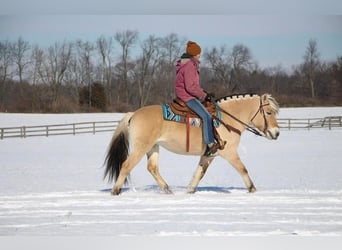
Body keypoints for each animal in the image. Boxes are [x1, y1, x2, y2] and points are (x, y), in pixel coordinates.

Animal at [103, 93, 280, 194]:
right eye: (269, 112)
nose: (276, 133)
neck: (227, 120)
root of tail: (133, 114)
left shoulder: (209, 155)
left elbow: (200, 172)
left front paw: (190, 190)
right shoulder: (229, 152)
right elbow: (243, 169)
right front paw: (252, 189)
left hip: (153, 147)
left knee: (152, 168)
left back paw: (167, 189)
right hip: (141, 147)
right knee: (126, 165)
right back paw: (116, 190)